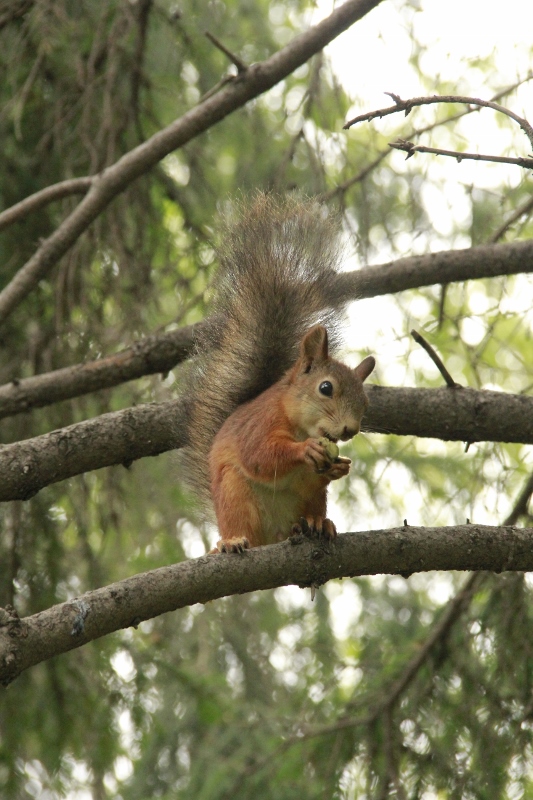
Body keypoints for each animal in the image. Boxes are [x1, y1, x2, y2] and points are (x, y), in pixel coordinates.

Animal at [183, 195, 374, 556]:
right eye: (325, 388)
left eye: (366, 402)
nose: (350, 430)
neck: (298, 422)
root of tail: (272, 537)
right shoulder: (259, 424)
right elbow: (261, 456)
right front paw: (305, 451)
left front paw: (339, 467)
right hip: (234, 494)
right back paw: (231, 541)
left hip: (311, 501)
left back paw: (315, 523)